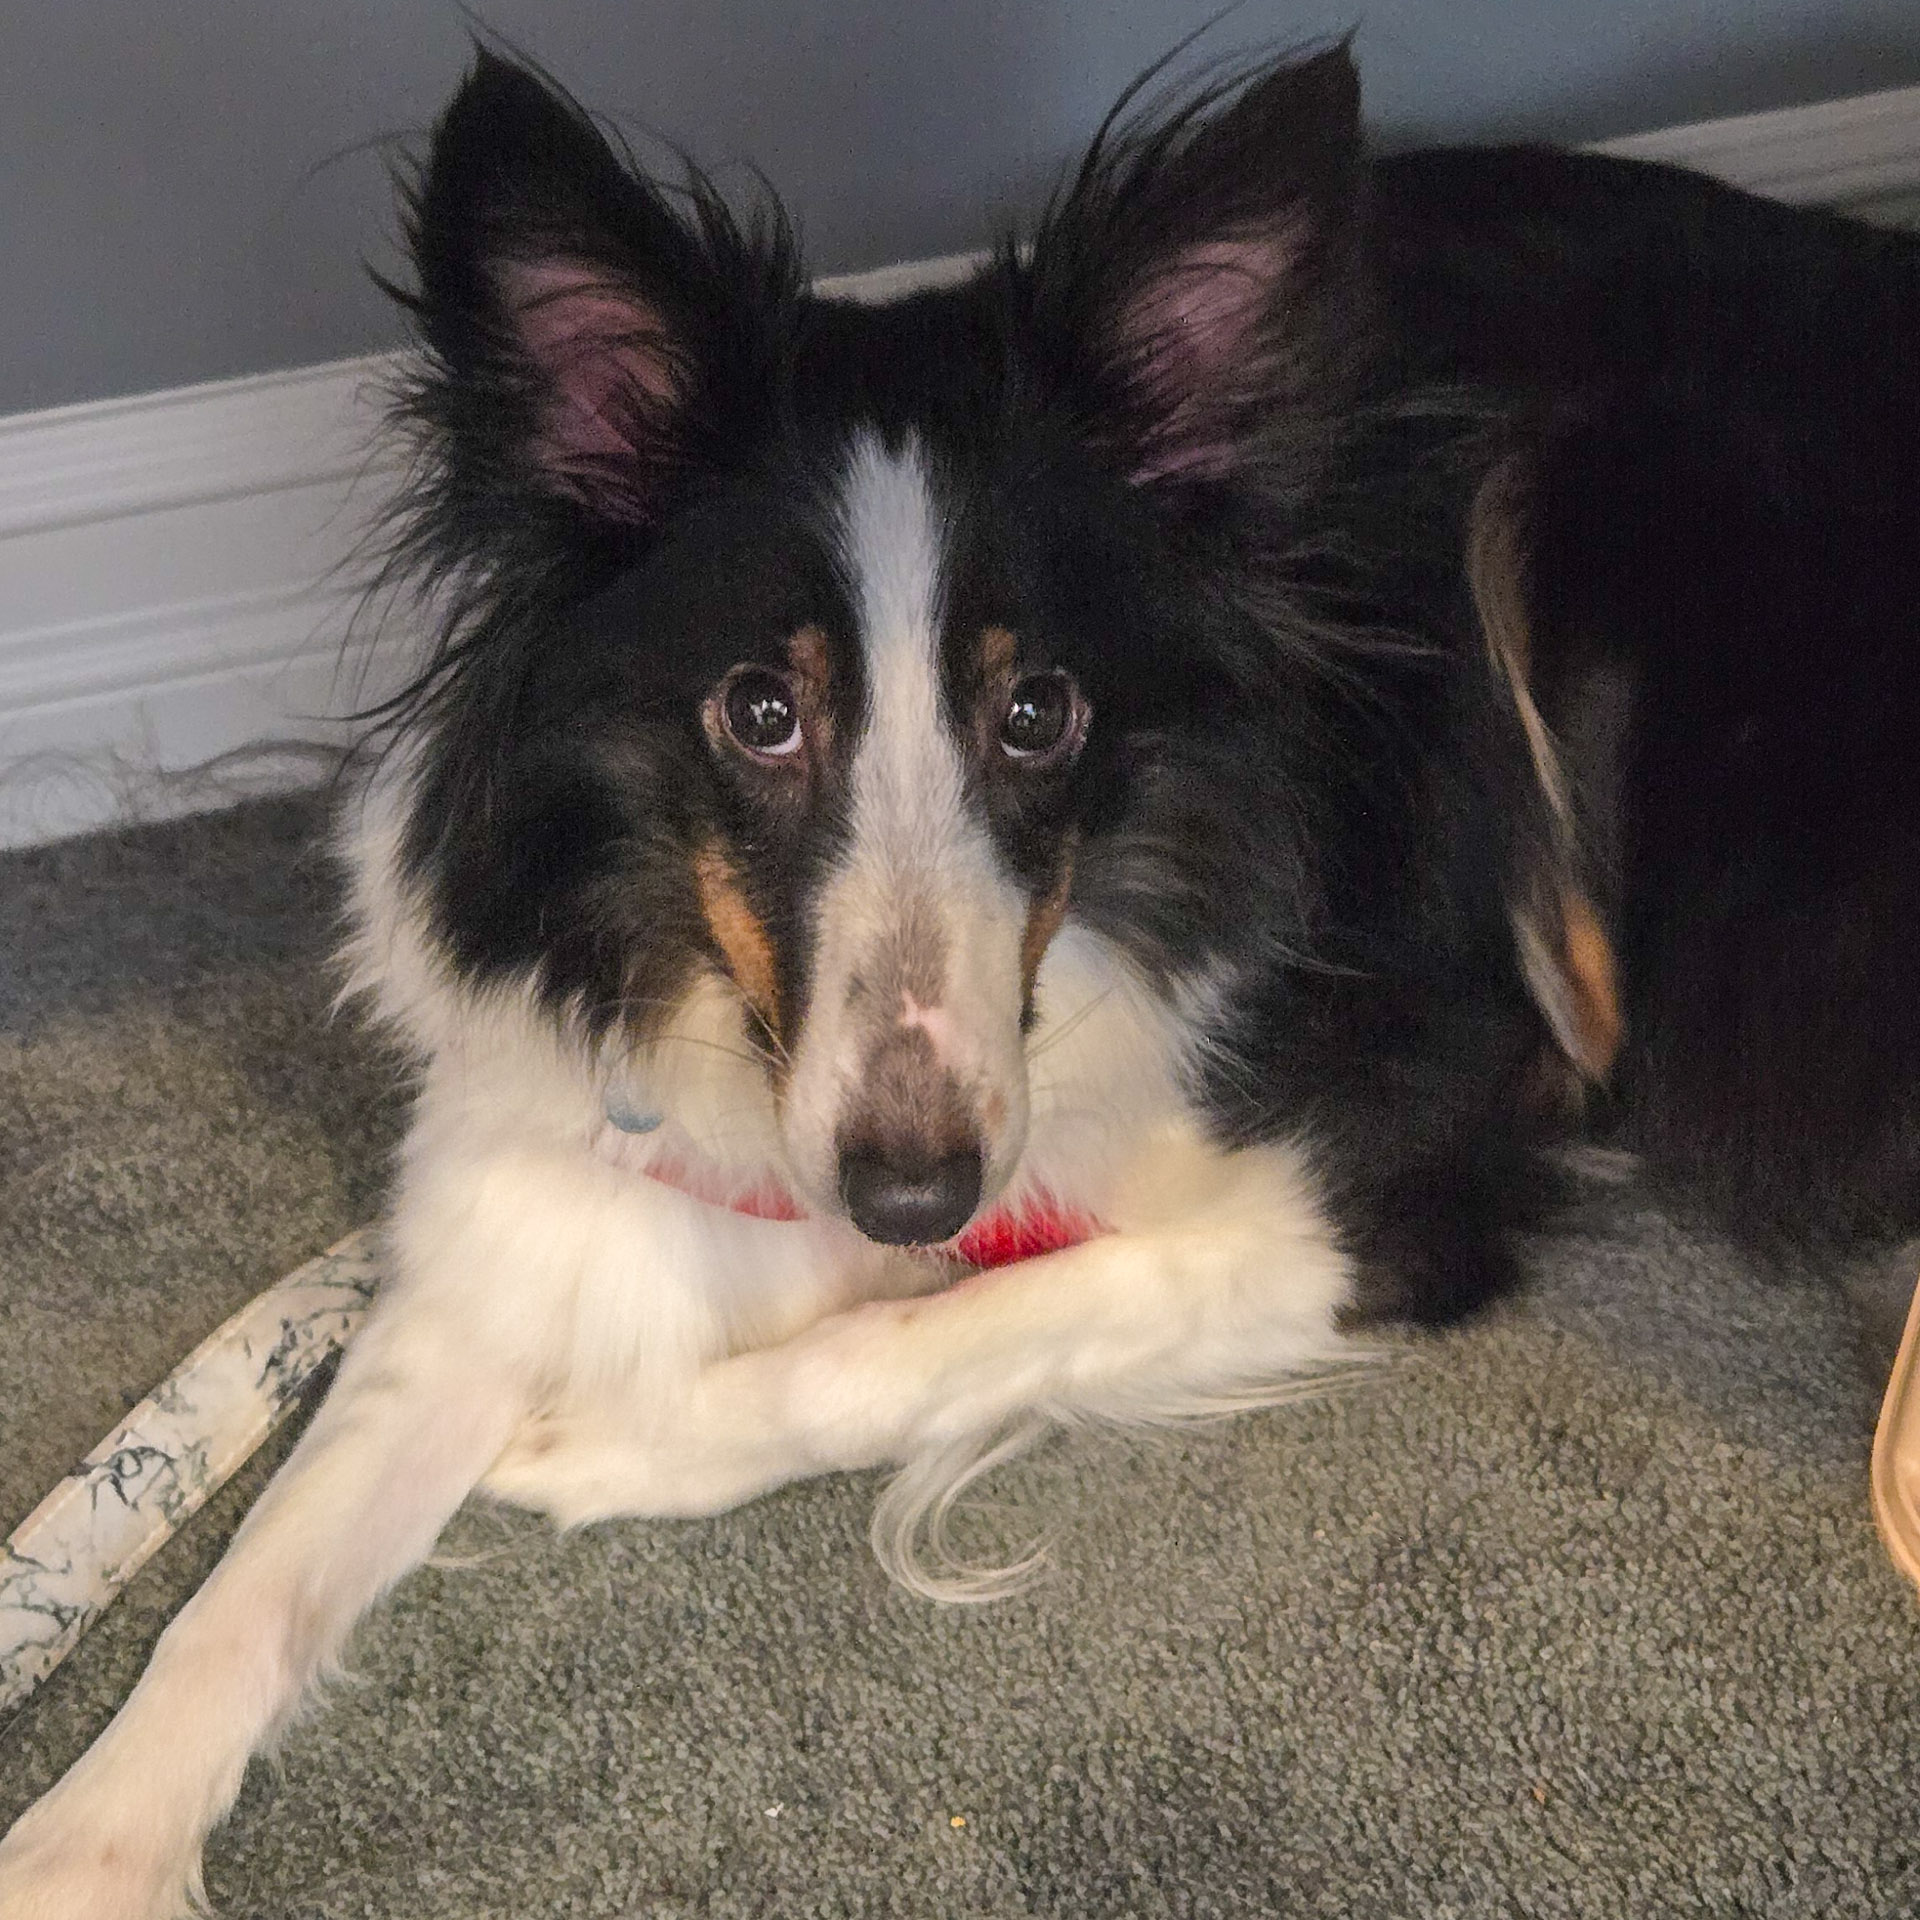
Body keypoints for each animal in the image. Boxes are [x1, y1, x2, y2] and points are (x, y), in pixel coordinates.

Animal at [4, 41, 1917, 1916]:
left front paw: (609, 1441)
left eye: (1040, 710)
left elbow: (934, 1335)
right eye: (758, 710)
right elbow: (253, 1576)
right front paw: (88, 1845)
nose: (913, 1191)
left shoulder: (1386, 1183)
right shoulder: (506, 1208)